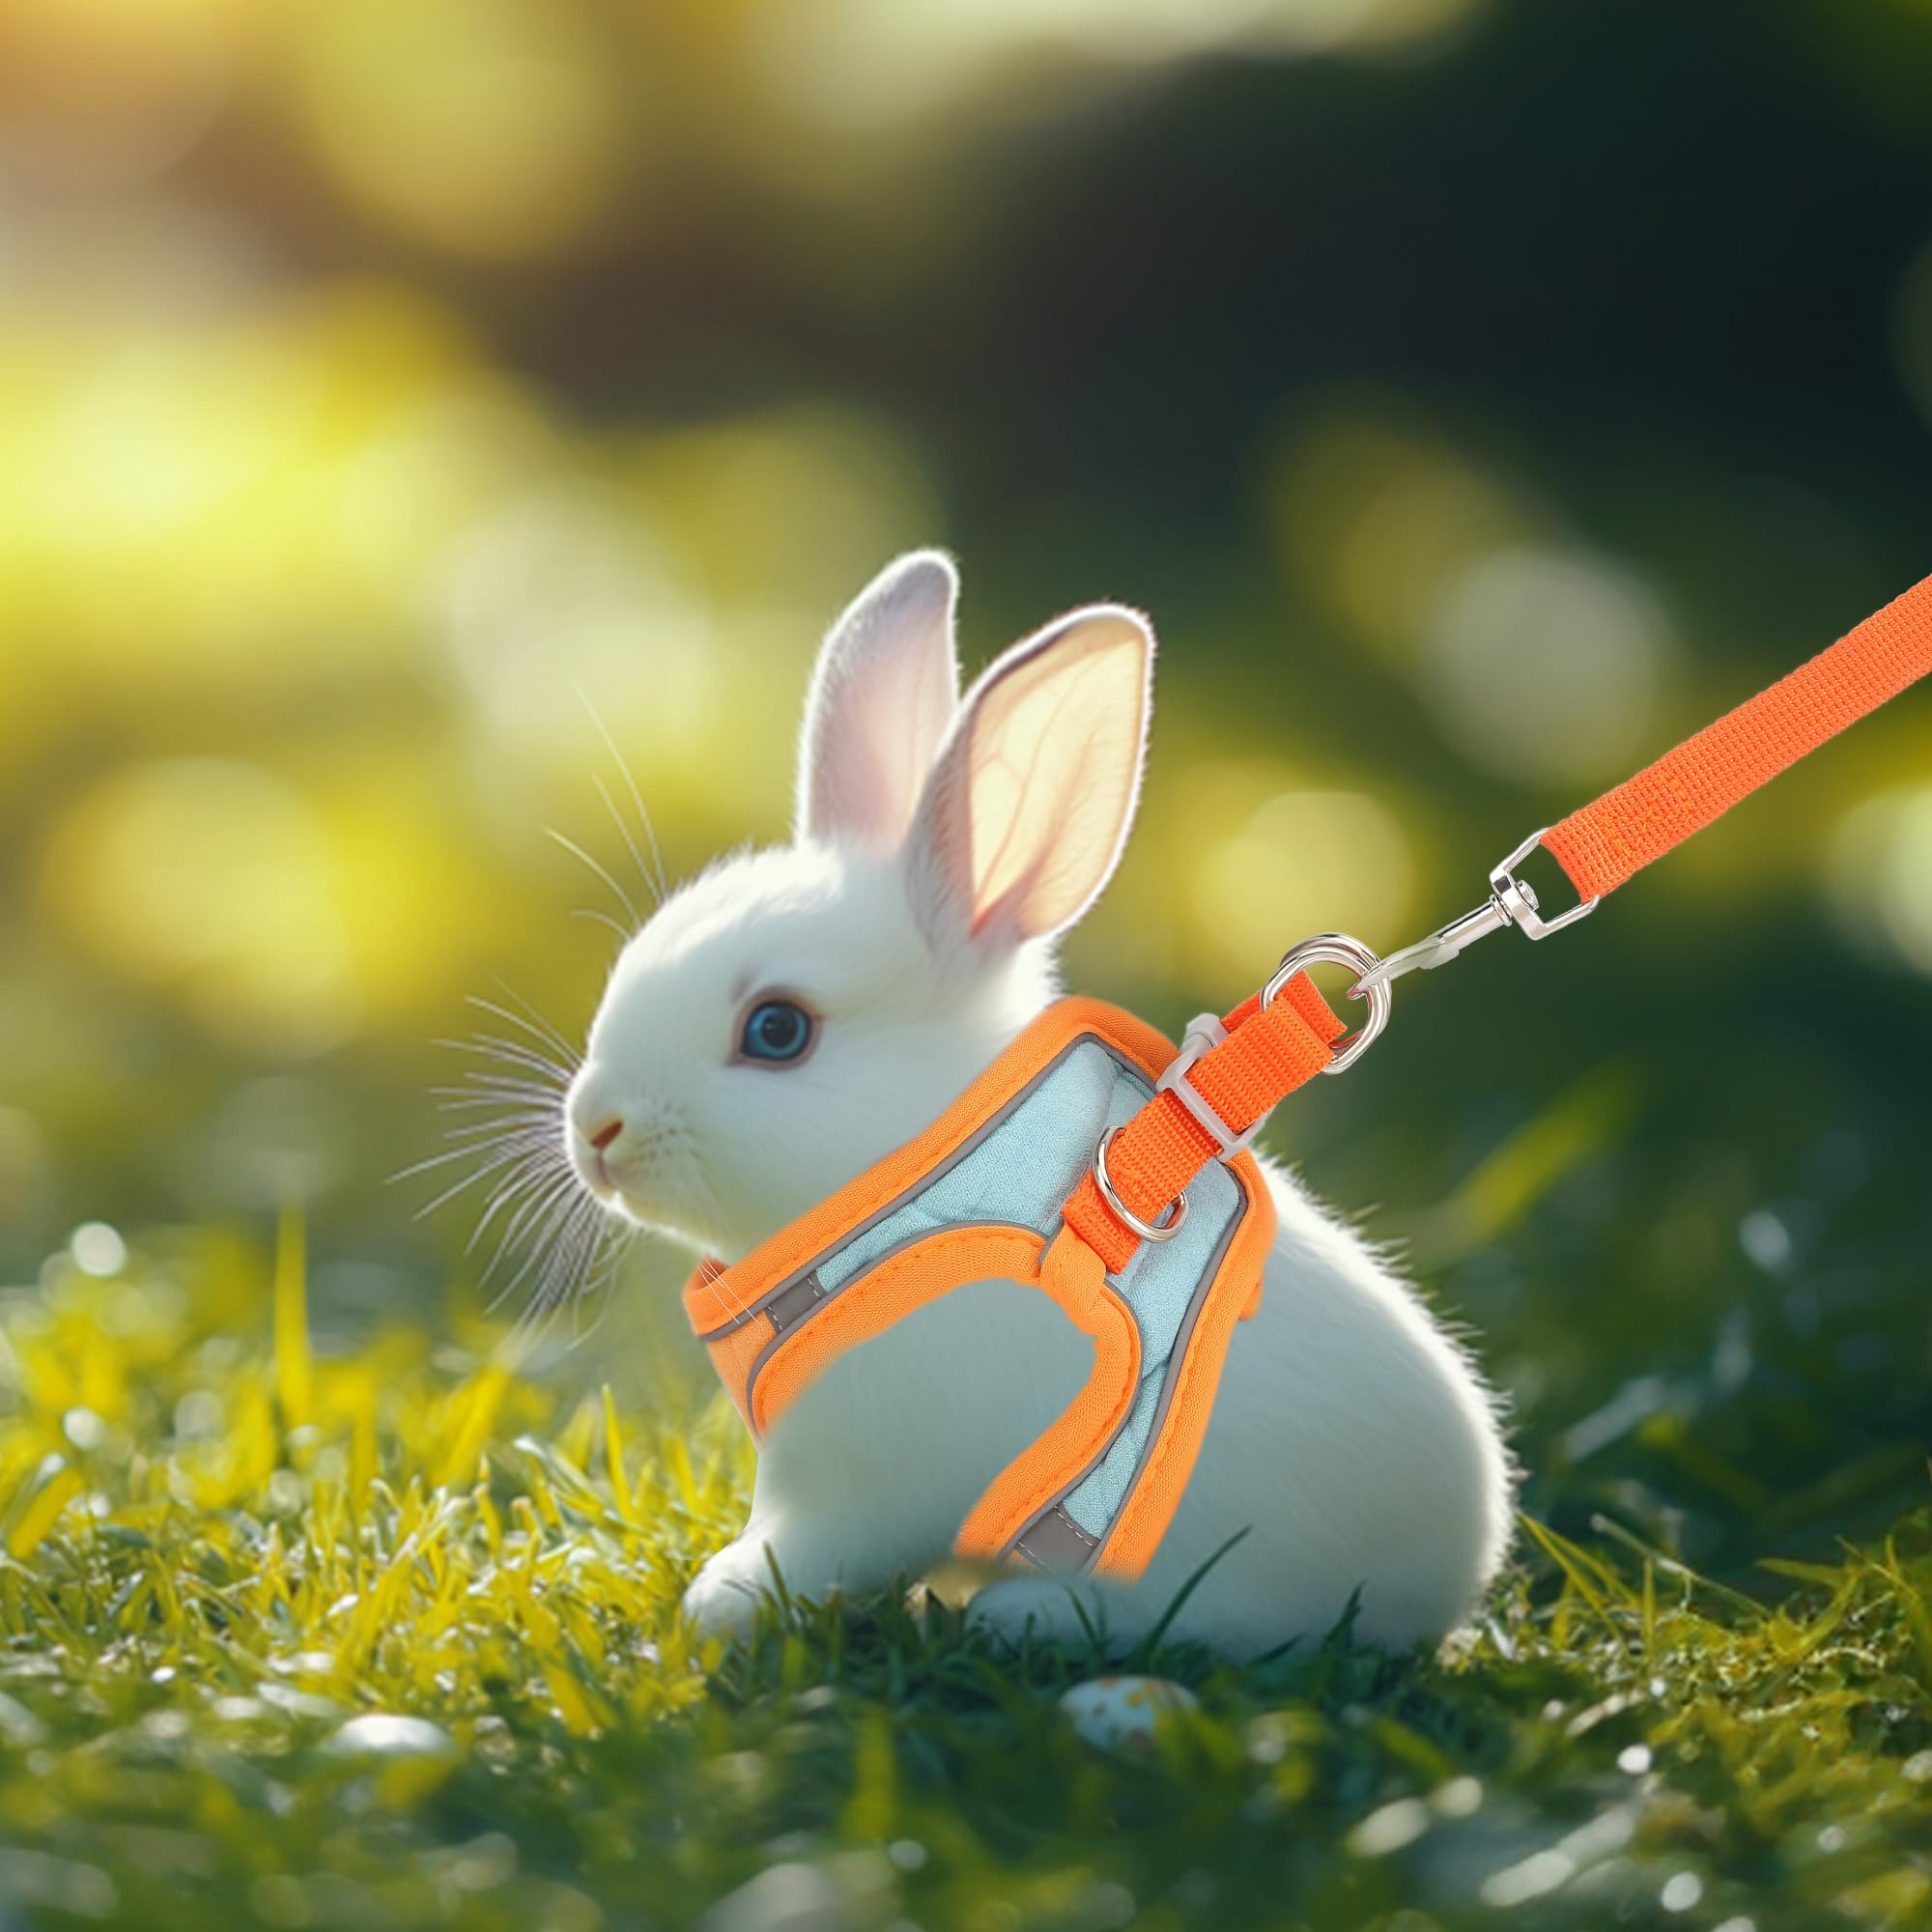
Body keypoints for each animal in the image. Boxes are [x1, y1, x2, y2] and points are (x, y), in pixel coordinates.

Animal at [563, 550, 1514, 1658]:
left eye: (776, 1031)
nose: (595, 1131)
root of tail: (1466, 1555)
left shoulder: (857, 1482)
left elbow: (808, 1548)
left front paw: (721, 1602)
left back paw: (1015, 1614)